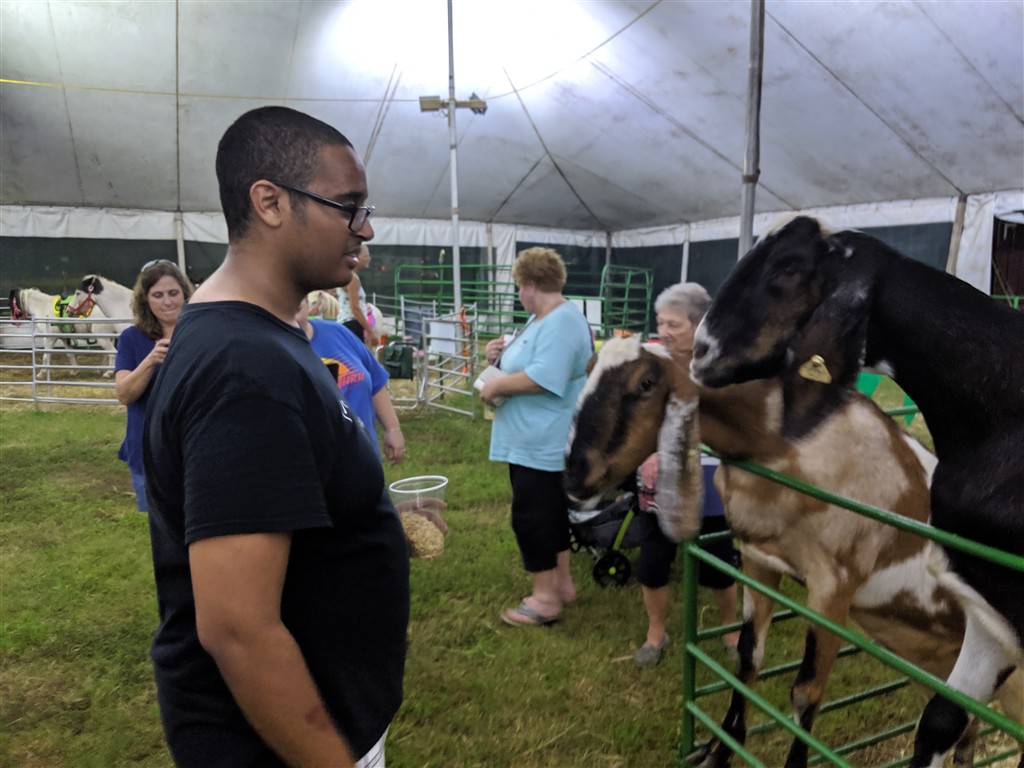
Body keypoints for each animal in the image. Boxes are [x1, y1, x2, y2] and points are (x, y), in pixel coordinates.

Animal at [565, 336, 1022, 768]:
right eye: (587, 370)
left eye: (645, 383)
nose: (575, 475)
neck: (787, 443)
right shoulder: (758, 560)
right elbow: (748, 658)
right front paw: (719, 751)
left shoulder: (833, 588)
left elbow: (806, 691)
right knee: (967, 725)